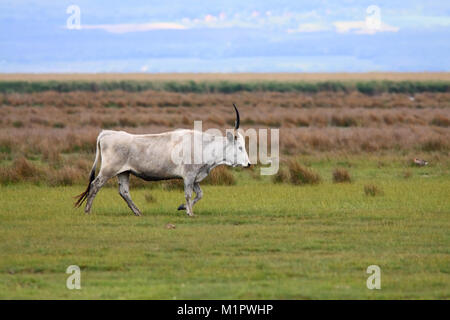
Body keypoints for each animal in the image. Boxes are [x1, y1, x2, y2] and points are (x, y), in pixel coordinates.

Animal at [74, 105, 250, 218]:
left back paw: (137, 212)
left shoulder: (195, 178)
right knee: (95, 185)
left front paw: (183, 207)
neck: (204, 145)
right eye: (240, 147)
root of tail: (107, 133)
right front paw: (190, 212)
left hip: (124, 172)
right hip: (107, 171)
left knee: (123, 191)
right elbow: (188, 194)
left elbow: (199, 194)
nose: (248, 164)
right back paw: (87, 211)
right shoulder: (189, 176)